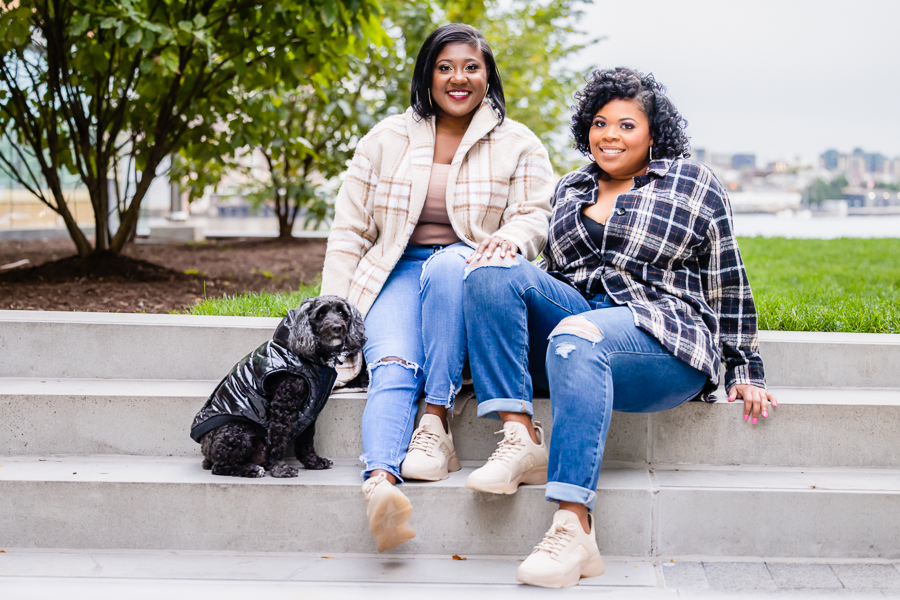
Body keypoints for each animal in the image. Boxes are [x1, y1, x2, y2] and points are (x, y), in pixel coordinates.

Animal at [191, 296, 366, 478]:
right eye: (320, 314)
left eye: (342, 312)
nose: (337, 327)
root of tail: (205, 451)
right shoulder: (283, 405)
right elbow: (278, 439)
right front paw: (281, 469)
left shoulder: (309, 410)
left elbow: (306, 441)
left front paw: (313, 462)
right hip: (238, 429)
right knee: (221, 467)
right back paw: (251, 469)